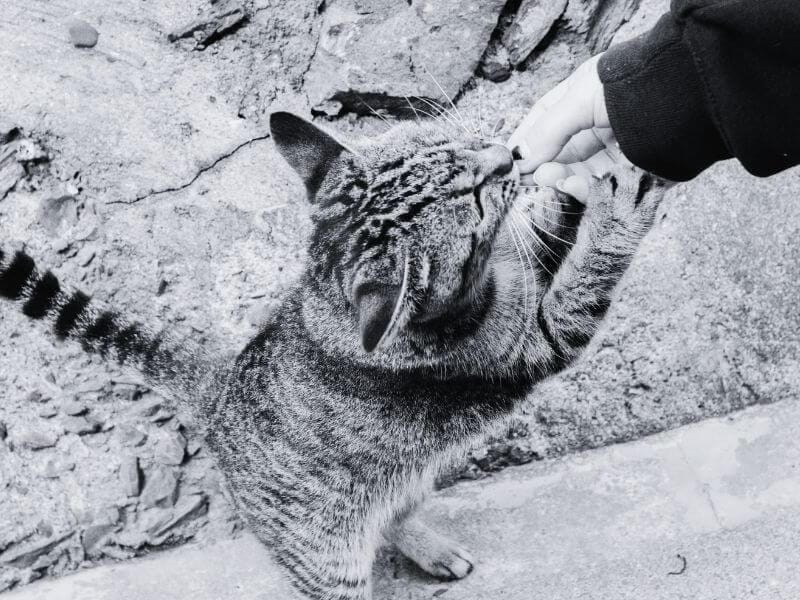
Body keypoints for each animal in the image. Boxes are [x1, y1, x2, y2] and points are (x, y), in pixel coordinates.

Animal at [0, 112, 664, 600]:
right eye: (474, 201)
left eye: (452, 147)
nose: (508, 154)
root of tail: (220, 385)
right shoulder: (539, 341)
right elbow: (587, 276)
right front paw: (619, 206)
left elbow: (548, 237)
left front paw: (562, 187)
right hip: (327, 557)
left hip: (406, 469)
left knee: (392, 511)